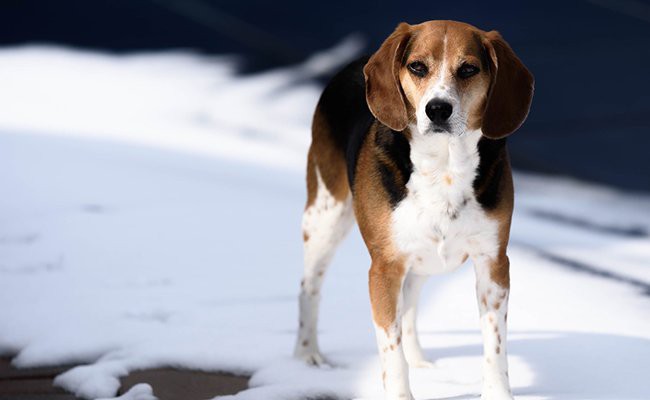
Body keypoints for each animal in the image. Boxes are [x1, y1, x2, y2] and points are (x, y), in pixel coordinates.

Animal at [294, 19, 532, 400]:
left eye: (469, 69)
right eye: (417, 67)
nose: (438, 109)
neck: (444, 166)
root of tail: (358, 61)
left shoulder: (493, 263)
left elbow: (495, 345)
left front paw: (497, 393)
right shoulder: (385, 268)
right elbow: (391, 352)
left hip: (423, 259)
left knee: (410, 305)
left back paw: (420, 360)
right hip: (324, 219)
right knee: (309, 287)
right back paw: (307, 355)